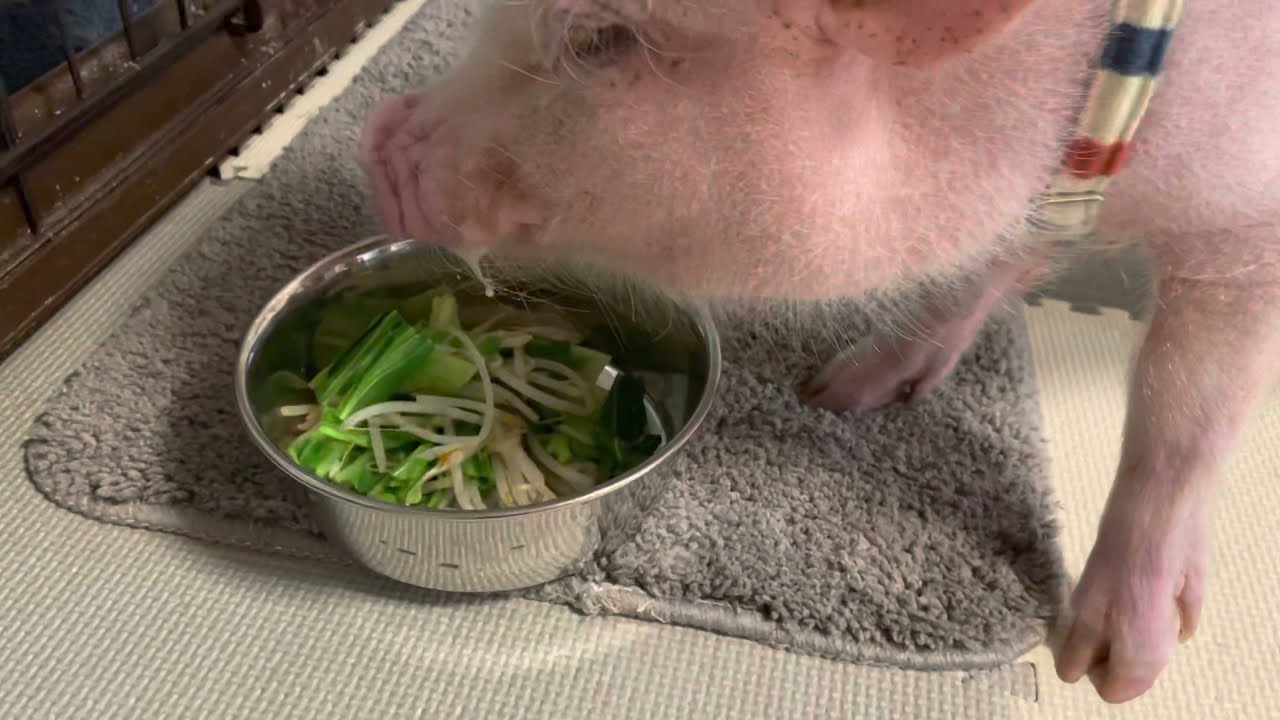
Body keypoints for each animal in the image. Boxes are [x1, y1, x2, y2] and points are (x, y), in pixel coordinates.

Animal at [356, 0, 1280, 704]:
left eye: (603, 40)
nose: (374, 132)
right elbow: (990, 259)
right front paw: (836, 393)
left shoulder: (1247, 233)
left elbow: (1183, 412)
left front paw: (1108, 672)